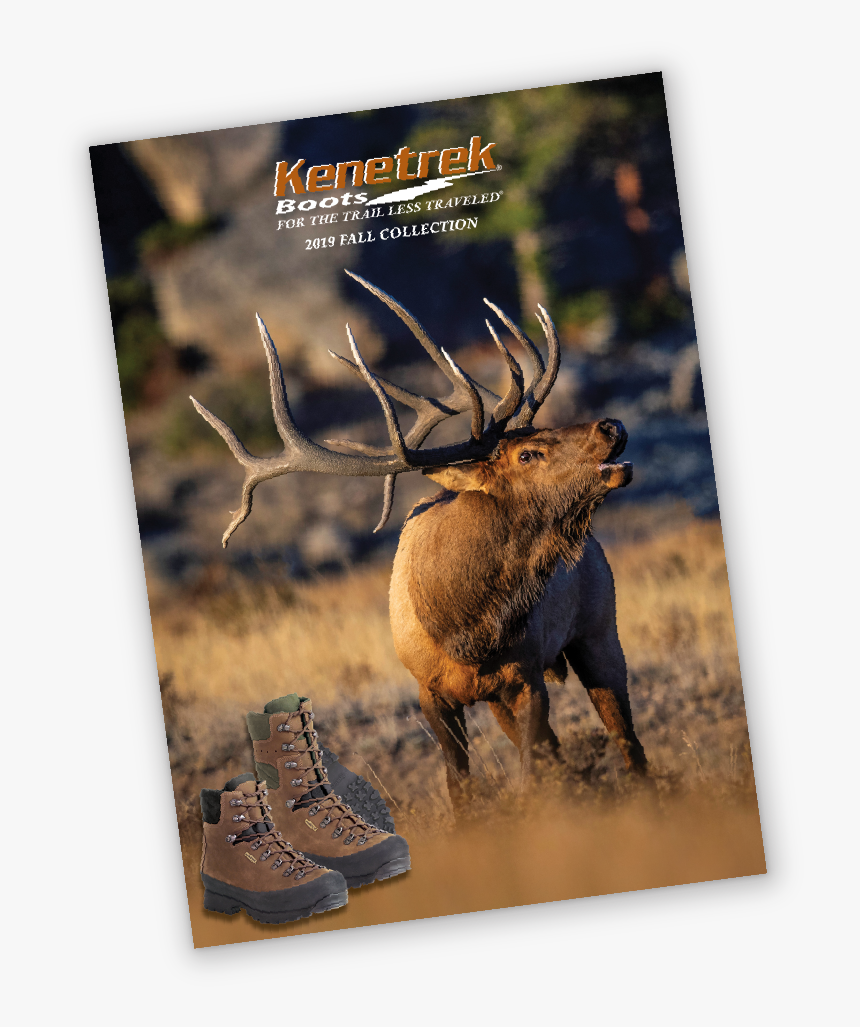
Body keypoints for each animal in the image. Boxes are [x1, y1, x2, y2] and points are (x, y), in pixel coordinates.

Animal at [191, 272, 648, 811]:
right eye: (529, 453)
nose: (612, 424)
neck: (465, 628)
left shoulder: (528, 675)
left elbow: (531, 773)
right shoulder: (431, 690)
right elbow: (461, 784)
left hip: (599, 629)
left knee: (627, 741)